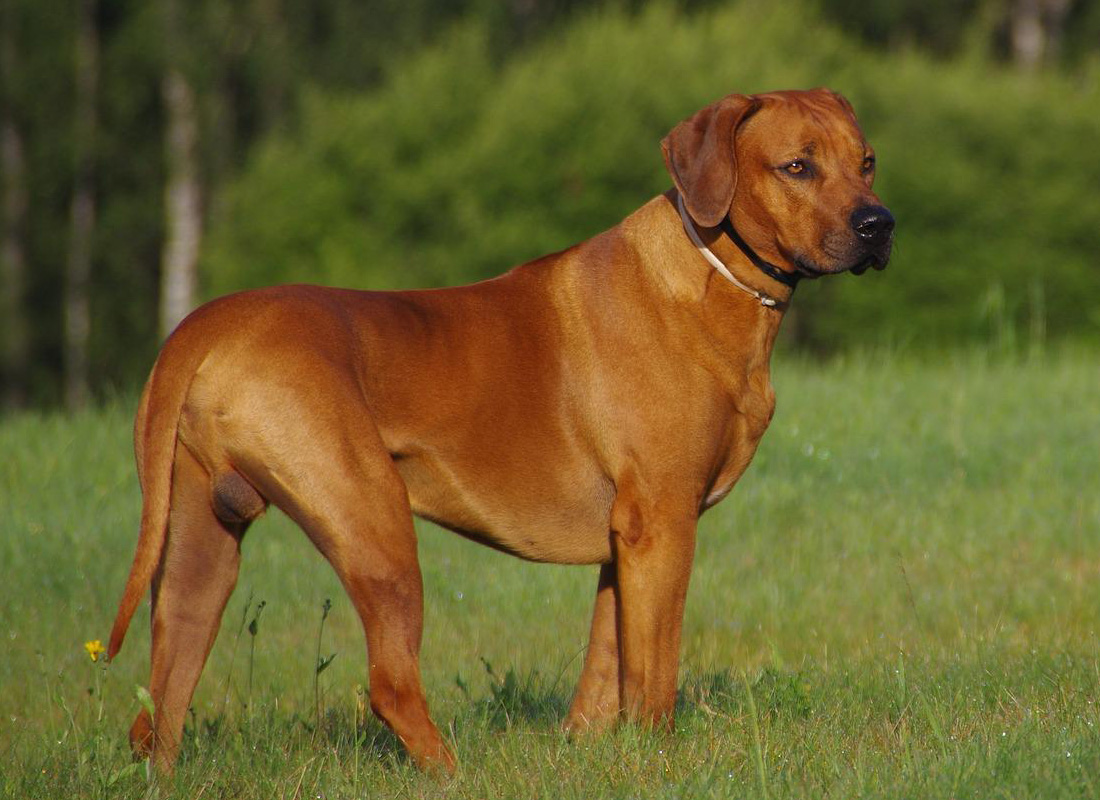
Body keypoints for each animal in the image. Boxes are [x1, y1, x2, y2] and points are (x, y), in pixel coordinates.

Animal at [107, 89, 888, 774]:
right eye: (797, 166)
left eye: (868, 161)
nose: (880, 224)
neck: (711, 274)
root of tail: (203, 326)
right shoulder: (664, 521)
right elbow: (654, 673)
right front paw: (661, 758)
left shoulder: (627, 539)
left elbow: (606, 663)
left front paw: (589, 751)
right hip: (374, 523)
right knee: (390, 684)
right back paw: (453, 773)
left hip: (199, 547)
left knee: (160, 705)